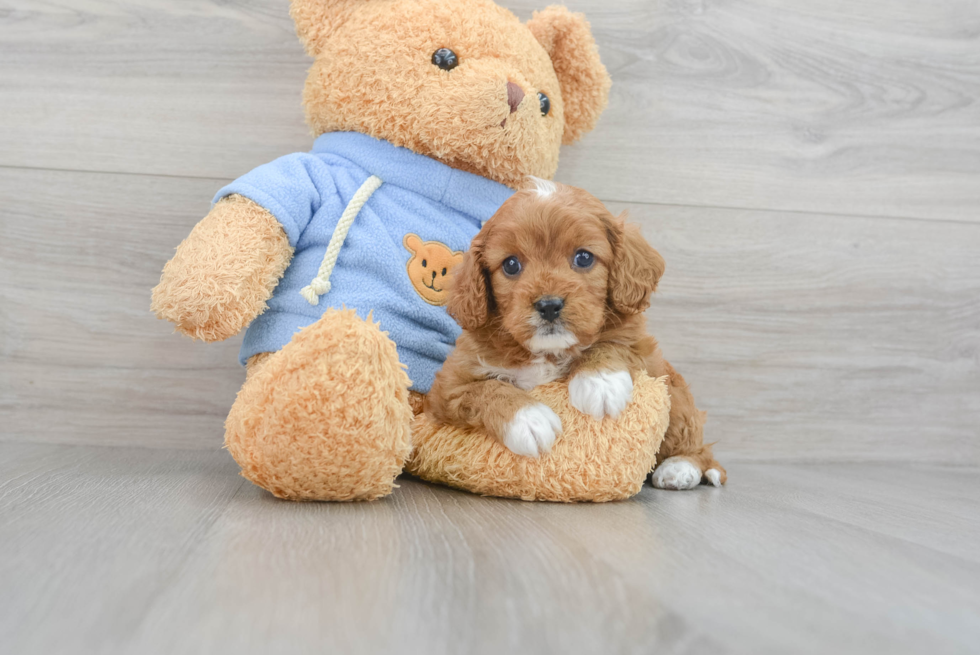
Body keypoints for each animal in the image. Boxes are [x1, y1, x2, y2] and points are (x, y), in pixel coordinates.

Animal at [426, 182, 728, 490]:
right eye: (510, 265)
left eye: (583, 258)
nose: (549, 305)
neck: (548, 351)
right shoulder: (448, 386)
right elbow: (485, 389)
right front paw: (528, 419)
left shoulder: (642, 348)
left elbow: (612, 343)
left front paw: (600, 382)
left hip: (676, 399)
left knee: (698, 447)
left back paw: (680, 468)